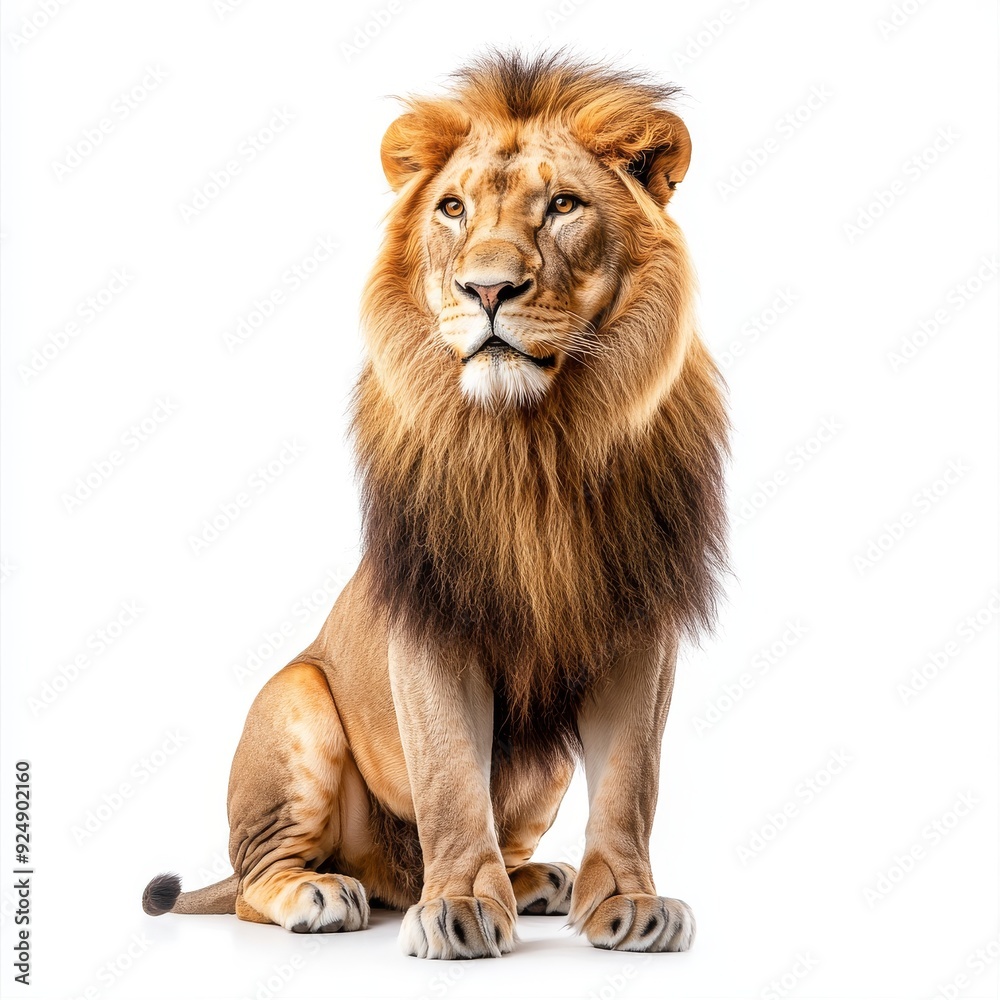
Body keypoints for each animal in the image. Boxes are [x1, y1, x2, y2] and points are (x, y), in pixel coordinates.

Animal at [142, 50, 727, 959]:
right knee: (256, 881)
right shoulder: (430, 613)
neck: (535, 446)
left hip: (545, 767)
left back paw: (536, 879)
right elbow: (450, 776)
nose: (487, 290)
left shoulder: (639, 621)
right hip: (295, 702)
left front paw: (629, 902)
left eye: (563, 205)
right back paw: (324, 892)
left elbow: (633, 779)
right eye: (453, 208)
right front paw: (458, 909)